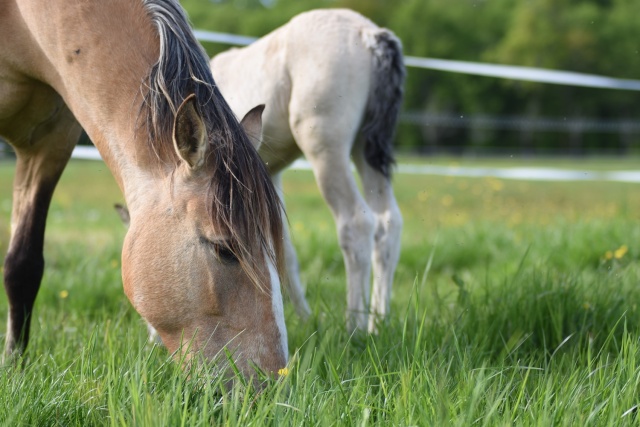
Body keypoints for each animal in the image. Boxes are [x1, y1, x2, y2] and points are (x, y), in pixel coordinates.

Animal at [0, 0, 286, 382]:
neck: (26, 20)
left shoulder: (51, 142)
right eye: (225, 249)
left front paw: (15, 364)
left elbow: (23, 266)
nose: (271, 380)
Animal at [212, 8, 408, 332]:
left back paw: (355, 328)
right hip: (364, 149)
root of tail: (368, 33)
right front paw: (303, 320)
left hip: (326, 149)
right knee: (388, 222)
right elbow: (282, 248)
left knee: (356, 223)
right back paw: (378, 324)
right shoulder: (267, 176)